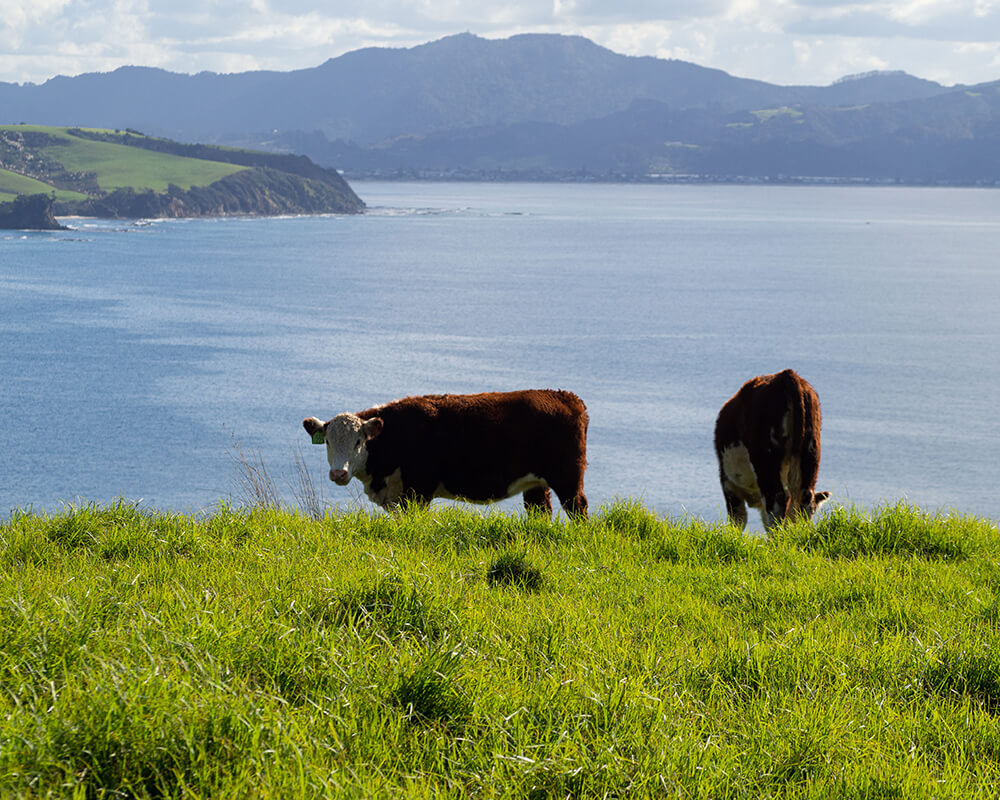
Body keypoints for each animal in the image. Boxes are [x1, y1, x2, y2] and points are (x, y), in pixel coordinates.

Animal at [300, 390, 588, 520]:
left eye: (359, 441)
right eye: (327, 441)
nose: (339, 473)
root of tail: (565, 396)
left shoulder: (418, 491)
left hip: (568, 476)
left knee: (578, 507)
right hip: (536, 482)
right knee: (539, 510)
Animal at [716, 370, 832, 532]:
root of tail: (786, 375)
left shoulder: (728, 483)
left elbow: (738, 521)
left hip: (765, 459)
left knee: (777, 500)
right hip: (811, 451)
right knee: (803, 499)